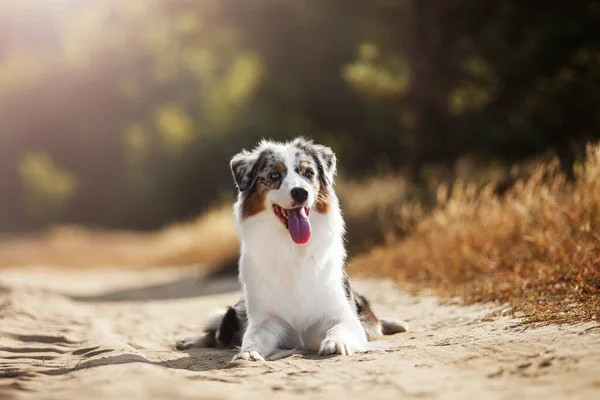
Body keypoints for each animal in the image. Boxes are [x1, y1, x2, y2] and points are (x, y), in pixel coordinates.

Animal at [176, 136, 406, 360]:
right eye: (274, 175)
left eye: (309, 173)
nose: (300, 193)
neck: (293, 249)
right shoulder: (265, 321)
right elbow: (251, 339)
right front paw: (248, 352)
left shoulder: (342, 314)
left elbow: (340, 328)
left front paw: (334, 343)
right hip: (233, 316)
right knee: (218, 332)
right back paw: (190, 341)